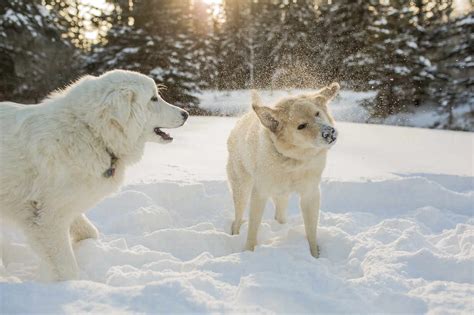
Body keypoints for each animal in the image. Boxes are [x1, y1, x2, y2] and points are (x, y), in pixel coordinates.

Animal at [0, 69, 189, 282]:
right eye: (153, 98)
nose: (186, 114)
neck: (91, 132)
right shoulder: (46, 217)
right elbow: (66, 267)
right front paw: (69, 285)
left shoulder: (67, 204)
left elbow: (89, 231)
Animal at [228, 82, 338, 258]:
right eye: (301, 126)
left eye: (317, 113)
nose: (329, 133)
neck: (292, 161)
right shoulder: (259, 194)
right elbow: (252, 229)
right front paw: (248, 252)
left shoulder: (311, 195)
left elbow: (311, 231)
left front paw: (314, 255)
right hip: (242, 190)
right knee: (237, 219)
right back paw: (235, 234)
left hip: (281, 195)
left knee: (279, 215)